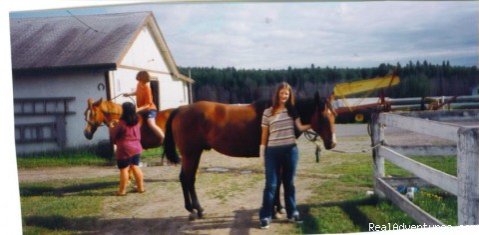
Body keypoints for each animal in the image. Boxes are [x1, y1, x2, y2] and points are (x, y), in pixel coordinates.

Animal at [163, 92, 336, 218]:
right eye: (323, 116)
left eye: (334, 115)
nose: (332, 143)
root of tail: (181, 109)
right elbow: (277, 180)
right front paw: (276, 209)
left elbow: (278, 180)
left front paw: (278, 208)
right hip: (191, 153)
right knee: (188, 179)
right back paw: (197, 210)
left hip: (192, 154)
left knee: (185, 178)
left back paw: (192, 209)